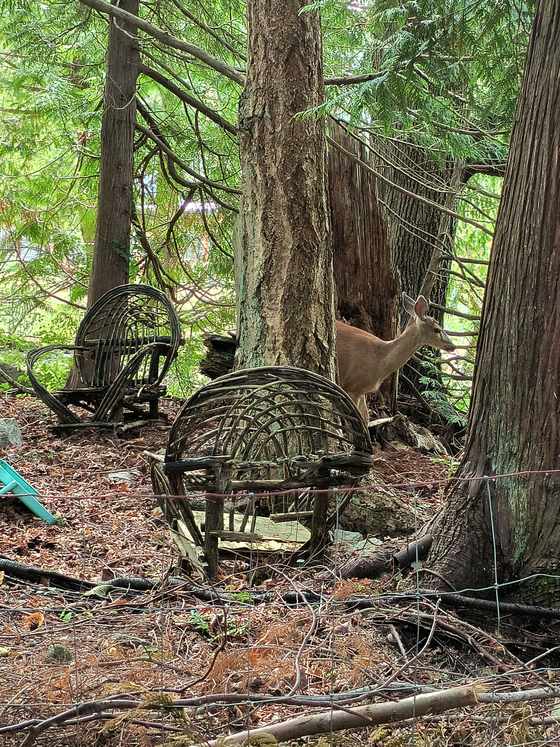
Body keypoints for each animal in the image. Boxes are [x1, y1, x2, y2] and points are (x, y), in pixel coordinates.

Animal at [336, 293, 455, 424]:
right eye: (437, 329)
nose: (453, 346)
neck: (380, 361)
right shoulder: (353, 385)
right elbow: (356, 419)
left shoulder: (361, 390)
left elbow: (365, 417)